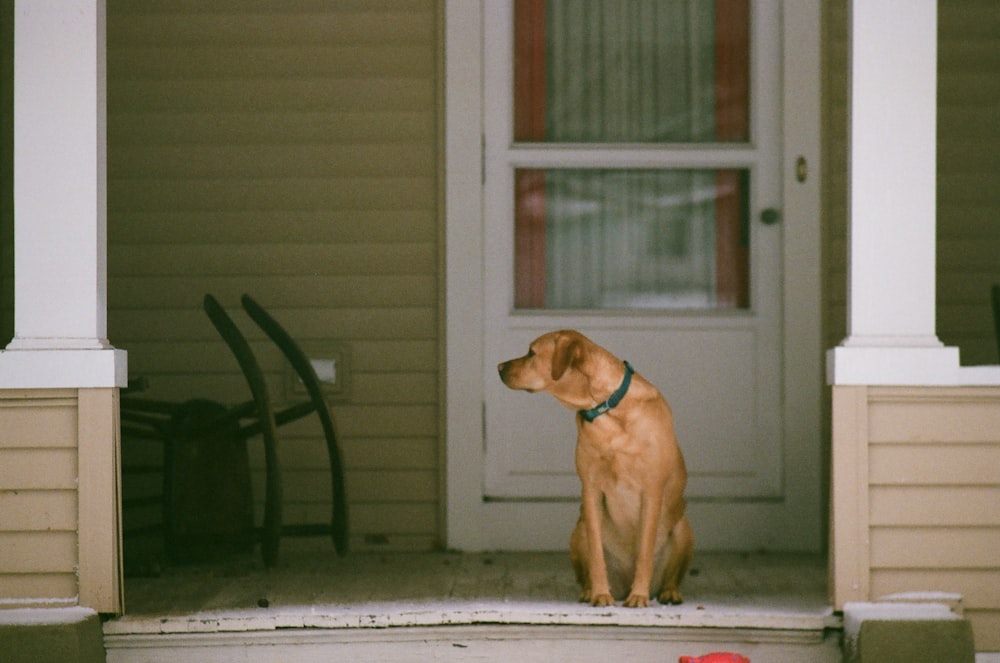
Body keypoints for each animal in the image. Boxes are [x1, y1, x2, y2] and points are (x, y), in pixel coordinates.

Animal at [496, 330, 692, 608]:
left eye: (531, 353)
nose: (498, 367)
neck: (606, 409)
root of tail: (623, 584)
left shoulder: (652, 492)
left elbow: (644, 553)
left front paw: (639, 596)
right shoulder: (590, 489)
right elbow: (596, 555)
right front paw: (600, 593)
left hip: (683, 527)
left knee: (672, 575)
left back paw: (668, 592)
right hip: (578, 531)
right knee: (586, 568)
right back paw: (591, 590)